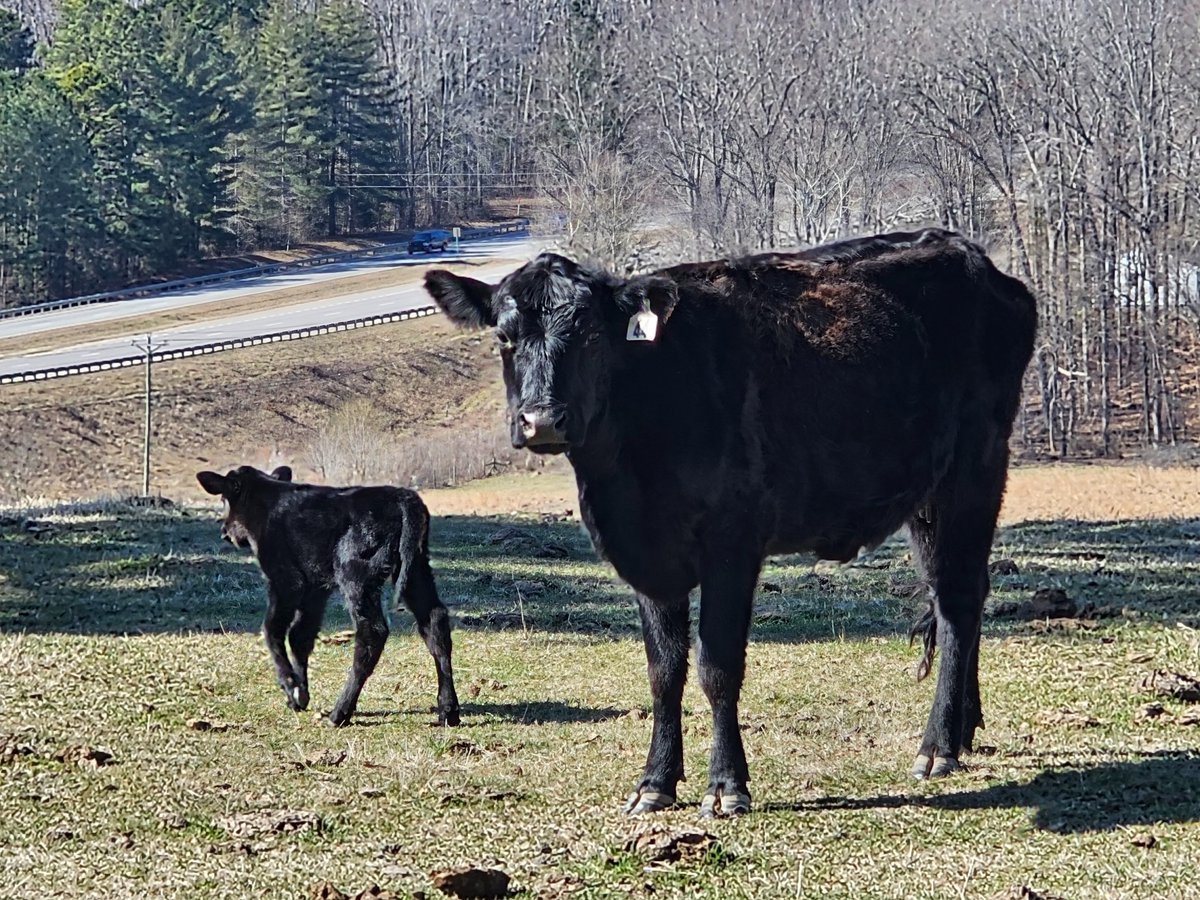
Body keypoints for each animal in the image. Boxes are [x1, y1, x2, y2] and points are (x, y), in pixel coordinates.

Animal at [196, 468, 458, 729]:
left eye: (224, 499)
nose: (224, 533)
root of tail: (404, 498)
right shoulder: (315, 588)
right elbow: (300, 636)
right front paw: (300, 695)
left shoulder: (285, 580)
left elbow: (272, 630)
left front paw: (290, 685)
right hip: (416, 570)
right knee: (435, 621)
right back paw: (448, 710)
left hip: (356, 574)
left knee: (373, 632)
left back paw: (339, 713)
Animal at [424, 230, 1041, 816]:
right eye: (504, 337)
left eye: (591, 335)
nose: (542, 420)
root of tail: (971, 253)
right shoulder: (648, 555)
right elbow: (663, 670)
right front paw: (654, 783)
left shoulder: (732, 544)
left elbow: (717, 667)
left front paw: (725, 787)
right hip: (927, 495)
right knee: (957, 593)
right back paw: (963, 728)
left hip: (974, 467)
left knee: (958, 598)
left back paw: (937, 747)